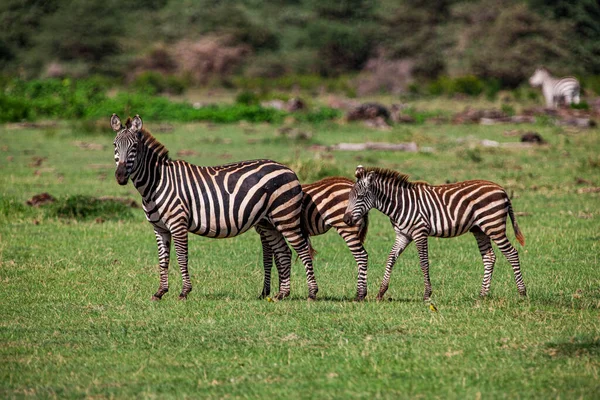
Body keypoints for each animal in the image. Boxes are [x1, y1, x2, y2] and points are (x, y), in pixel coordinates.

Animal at [112, 113, 318, 300]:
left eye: (134, 147)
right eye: (115, 145)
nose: (120, 176)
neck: (156, 183)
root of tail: (289, 169)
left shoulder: (178, 223)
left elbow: (181, 257)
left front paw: (184, 292)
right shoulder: (159, 228)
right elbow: (163, 260)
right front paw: (160, 292)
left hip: (285, 217)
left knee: (302, 250)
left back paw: (312, 293)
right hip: (269, 222)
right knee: (284, 252)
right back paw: (282, 294)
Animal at [342, 165, 524, 300]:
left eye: (360, 196)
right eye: (349, 196)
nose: (345, 220)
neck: (400, 204)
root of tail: (501, 189)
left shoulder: (420, 232)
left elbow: (424, 262)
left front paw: (427, 294)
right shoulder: (403, 235)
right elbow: (391, 259)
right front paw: (381, 292)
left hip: (494, 226)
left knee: (512, 253)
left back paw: (522, 293)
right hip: (479, 229)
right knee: (489, 257)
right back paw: (483, 294)